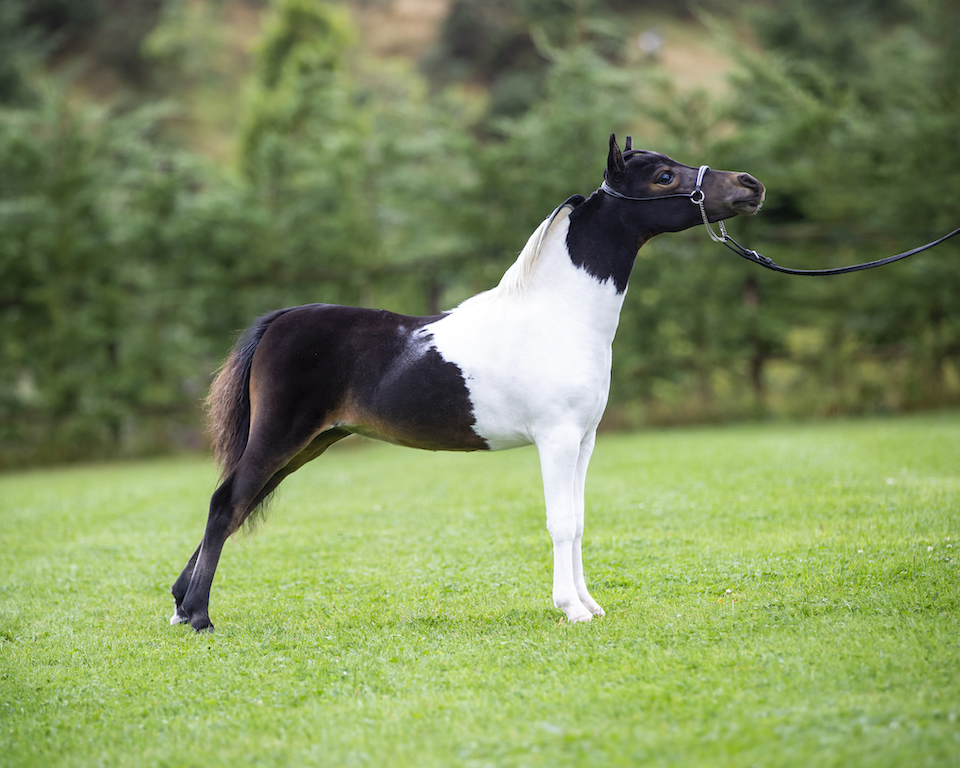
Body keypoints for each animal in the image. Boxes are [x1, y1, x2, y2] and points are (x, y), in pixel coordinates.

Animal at [171, 134, 765, 632]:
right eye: (664, 175)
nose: (749, 186)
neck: (561, 315)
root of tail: (281, 320)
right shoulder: (556, 438)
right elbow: (560, 522)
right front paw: (571, 610)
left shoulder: (584, 441)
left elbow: (577, 520)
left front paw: (589, 604)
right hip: (279, 437)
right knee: (224, 504)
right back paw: (199, 616)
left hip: (308, 443)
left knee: (236, 505)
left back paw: (180, 604)